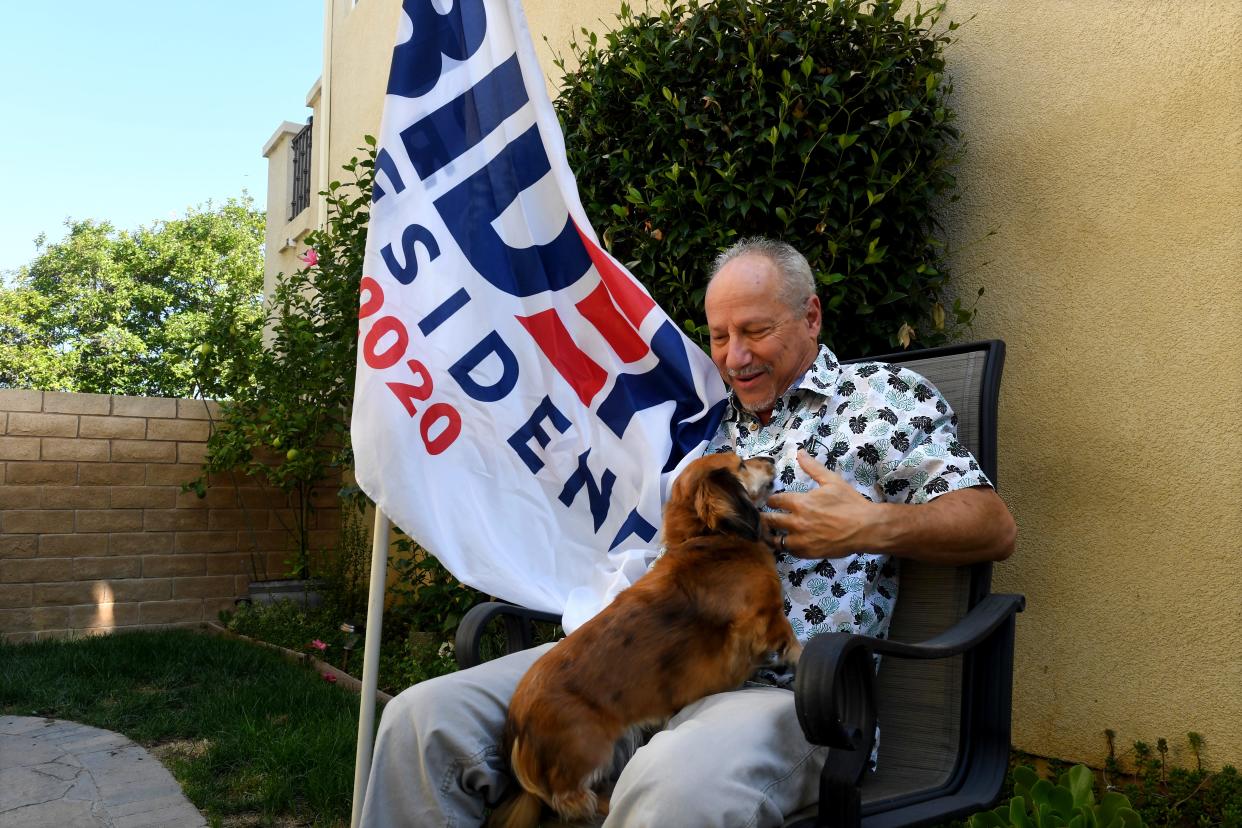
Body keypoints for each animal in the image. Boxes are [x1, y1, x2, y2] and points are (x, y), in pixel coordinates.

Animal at [489, 454, 799, 828]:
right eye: (740, 464)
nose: (770, 458)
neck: (709, 539)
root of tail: (516, 726)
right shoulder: (765, 621)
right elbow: (792, 644)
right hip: (590, 748)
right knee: (575, 802)